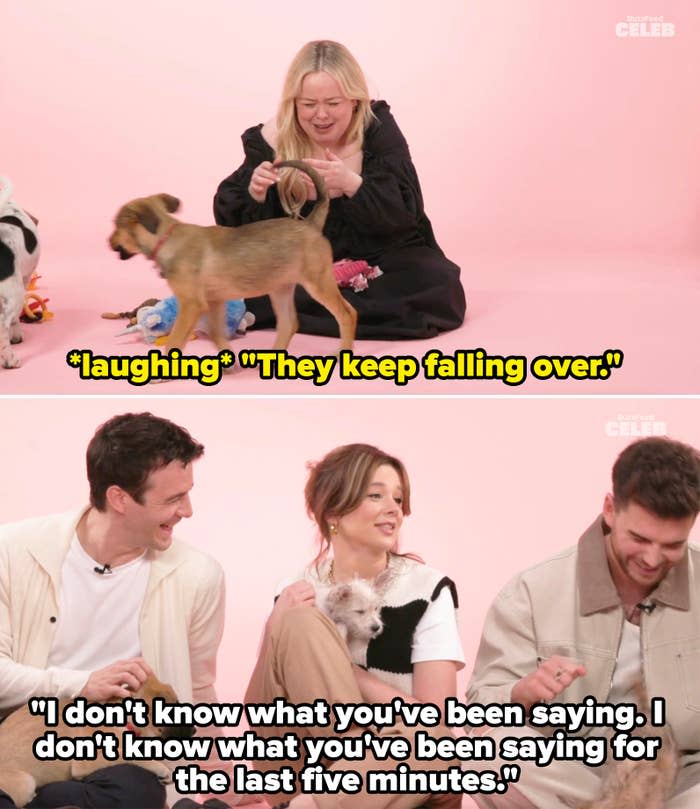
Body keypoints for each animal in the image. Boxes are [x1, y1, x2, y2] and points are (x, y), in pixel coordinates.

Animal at [110, 161, 360, 354]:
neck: (167, 238)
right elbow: (215, 333)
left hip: (318, 282)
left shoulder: (191, 304)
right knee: (289, 323)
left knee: (347, 314)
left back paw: (342, 353)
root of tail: (310, 224)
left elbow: (175, 340)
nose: (108, 242)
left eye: (116, 227)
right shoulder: (214, 301)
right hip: (281, 288)